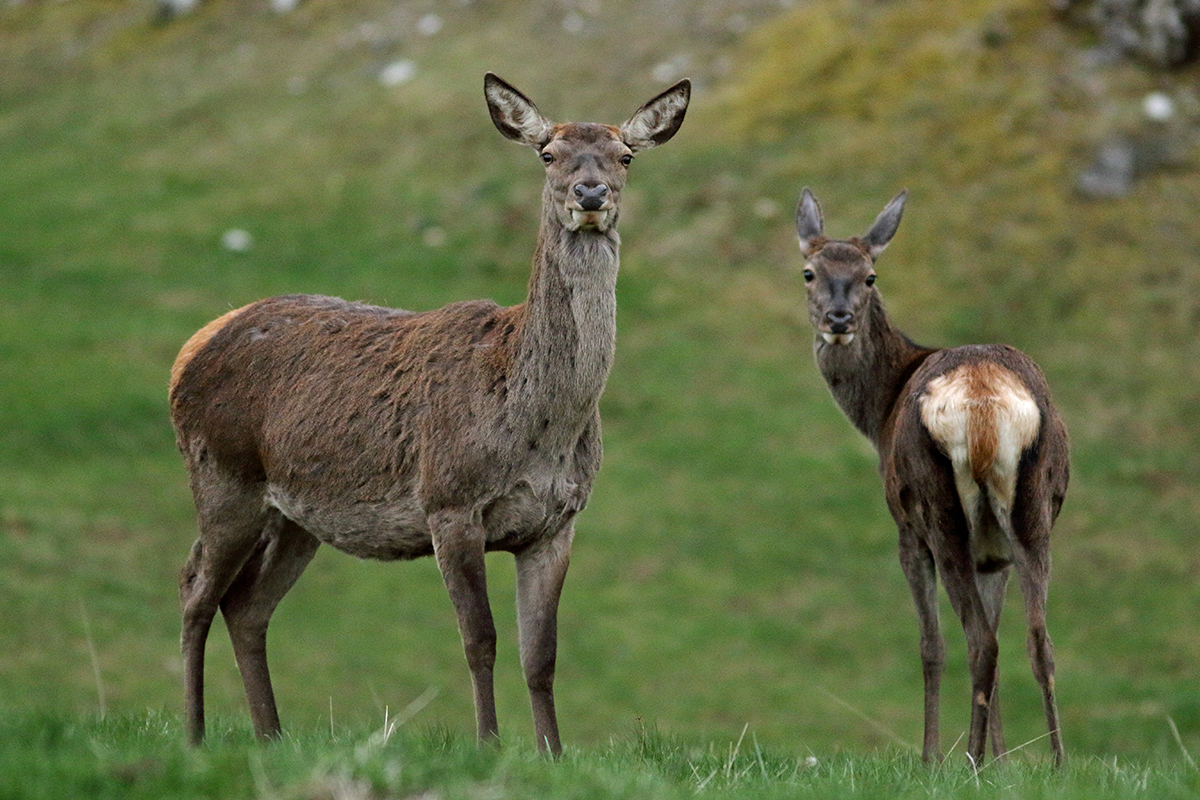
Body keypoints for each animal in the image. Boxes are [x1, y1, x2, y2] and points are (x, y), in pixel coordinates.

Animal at [172, 71, 691, 753]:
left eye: (626, 155)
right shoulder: (449, 502)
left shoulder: (558, 522)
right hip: (222, 476)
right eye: (547, 153)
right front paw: (489, 746)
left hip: (295, 517)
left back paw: (270, 736)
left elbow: (541, 655)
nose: (590, 193)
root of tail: (190, 348)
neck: (541, 428)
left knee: (246, 607)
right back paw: (194, 735)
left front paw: (553, 755)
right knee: (194, 591)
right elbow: (480, 641)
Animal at [796, 184, 1070, 767]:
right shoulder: (994, 553)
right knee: (1037, 639)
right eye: (809, 271)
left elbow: (931, 646)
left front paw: (930, 757)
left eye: (870, 275)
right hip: (1032, 506)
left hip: (936, 506)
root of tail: (983, 401)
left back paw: (963, 762)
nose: (838, 318)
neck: (879, 410)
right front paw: (1005, 763)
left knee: (977, 641)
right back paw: (1056, 763)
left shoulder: (905, 529)